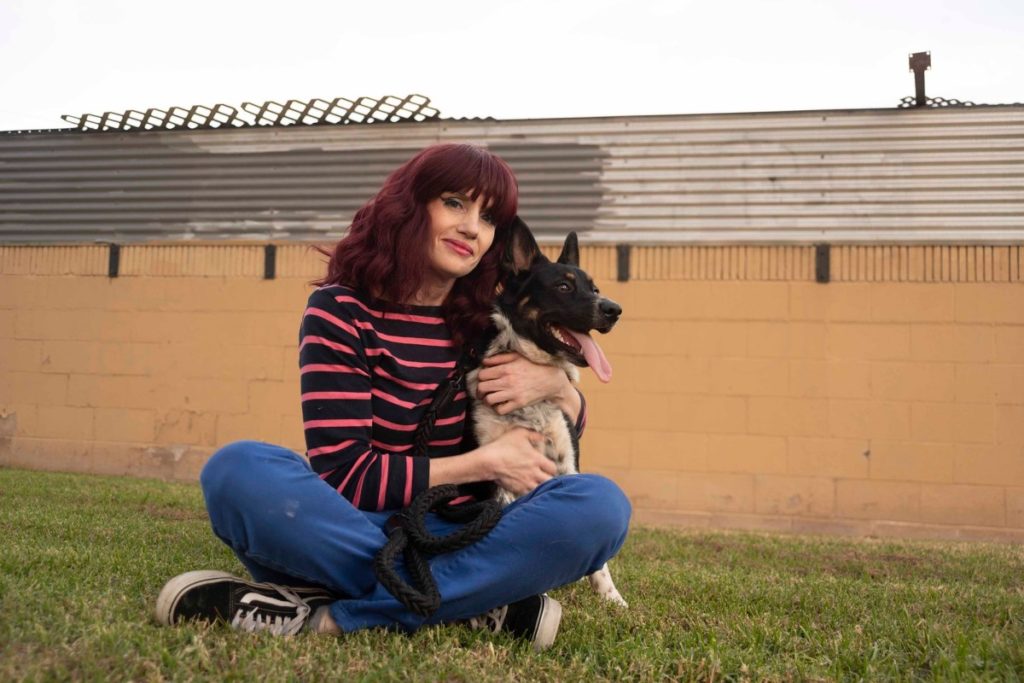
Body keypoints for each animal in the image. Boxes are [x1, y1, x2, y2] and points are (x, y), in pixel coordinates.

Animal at [468, 219, 626, 610]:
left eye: (595, 288)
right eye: (564, 286)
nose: (614, 309)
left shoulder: (567, 463)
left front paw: (611, 598)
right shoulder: (495, 471)